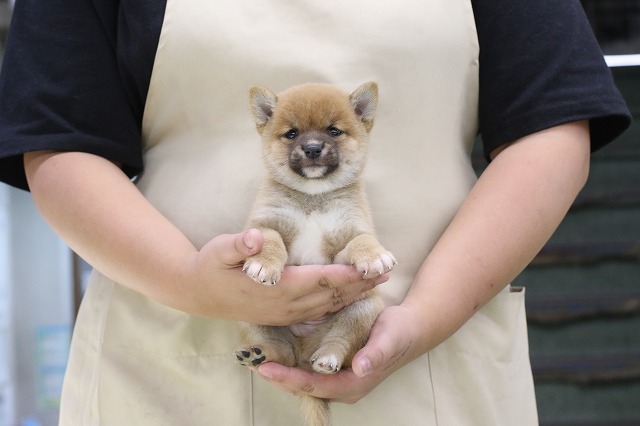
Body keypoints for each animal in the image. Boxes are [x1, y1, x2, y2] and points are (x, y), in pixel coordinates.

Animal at [235, 81, 396, 424]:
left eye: (334, 131)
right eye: (292, 133)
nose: (311, 149)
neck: (313, 198)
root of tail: (306, 351)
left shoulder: (345, 242)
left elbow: (361, 241)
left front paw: (374, 255)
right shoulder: (265, 224)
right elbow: (271, 241)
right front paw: (264, 264)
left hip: (364, 309)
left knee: (340, 343)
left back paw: (326, 358)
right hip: (252, 316)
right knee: (281, 355)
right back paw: (259, 355)